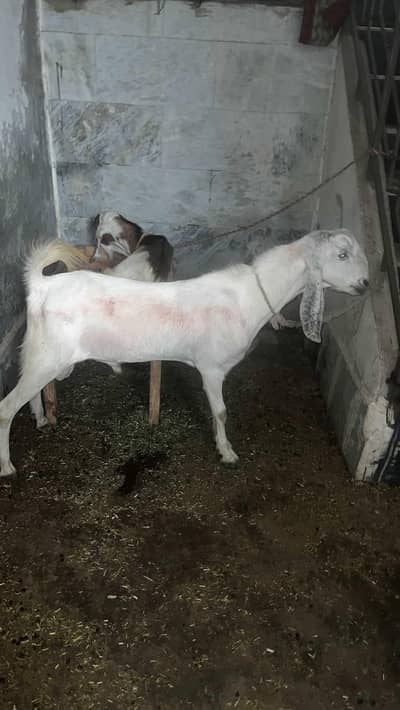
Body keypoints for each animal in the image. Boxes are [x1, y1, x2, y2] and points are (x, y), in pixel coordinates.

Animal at [0, 229, 369, 477]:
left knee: (28, 394)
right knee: (6, 408)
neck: (249, 297)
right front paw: (227, 452)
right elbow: (220, 411)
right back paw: (7, 466)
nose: (365, 285)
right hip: (48, 357)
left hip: (39, 355)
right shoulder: (211, 367)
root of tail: (41, 285)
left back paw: (40, 419)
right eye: (342, 255)